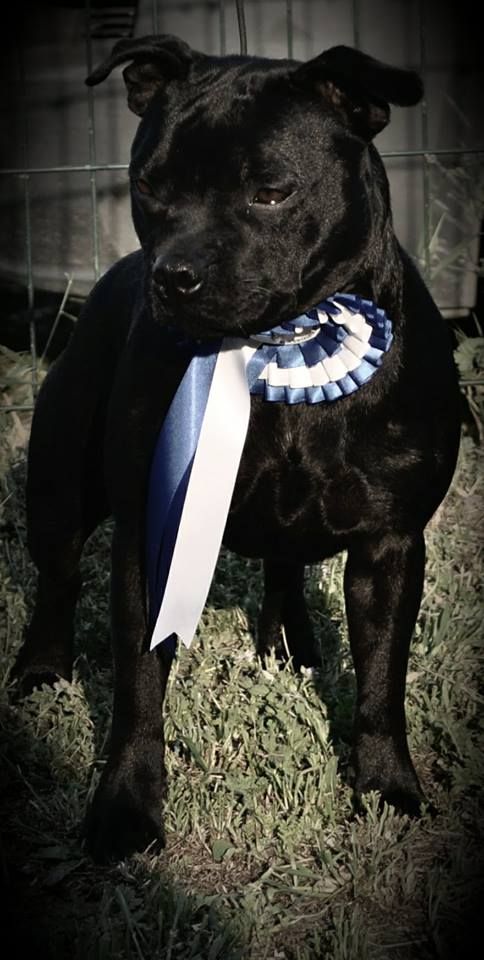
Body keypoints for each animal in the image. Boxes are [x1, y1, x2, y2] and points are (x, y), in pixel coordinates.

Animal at [12, 36, 460, 862]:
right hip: (58, 484)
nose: (174, 277)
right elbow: (138, 684)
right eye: (148, 186)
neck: (278, 349)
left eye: (272, 192)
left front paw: (389, 788)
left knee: (286, 570)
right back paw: (40, 671)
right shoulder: (148, 535)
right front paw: (126, 808)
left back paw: (296, 646)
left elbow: (383, 679)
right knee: (57, 581)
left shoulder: (390, 544)